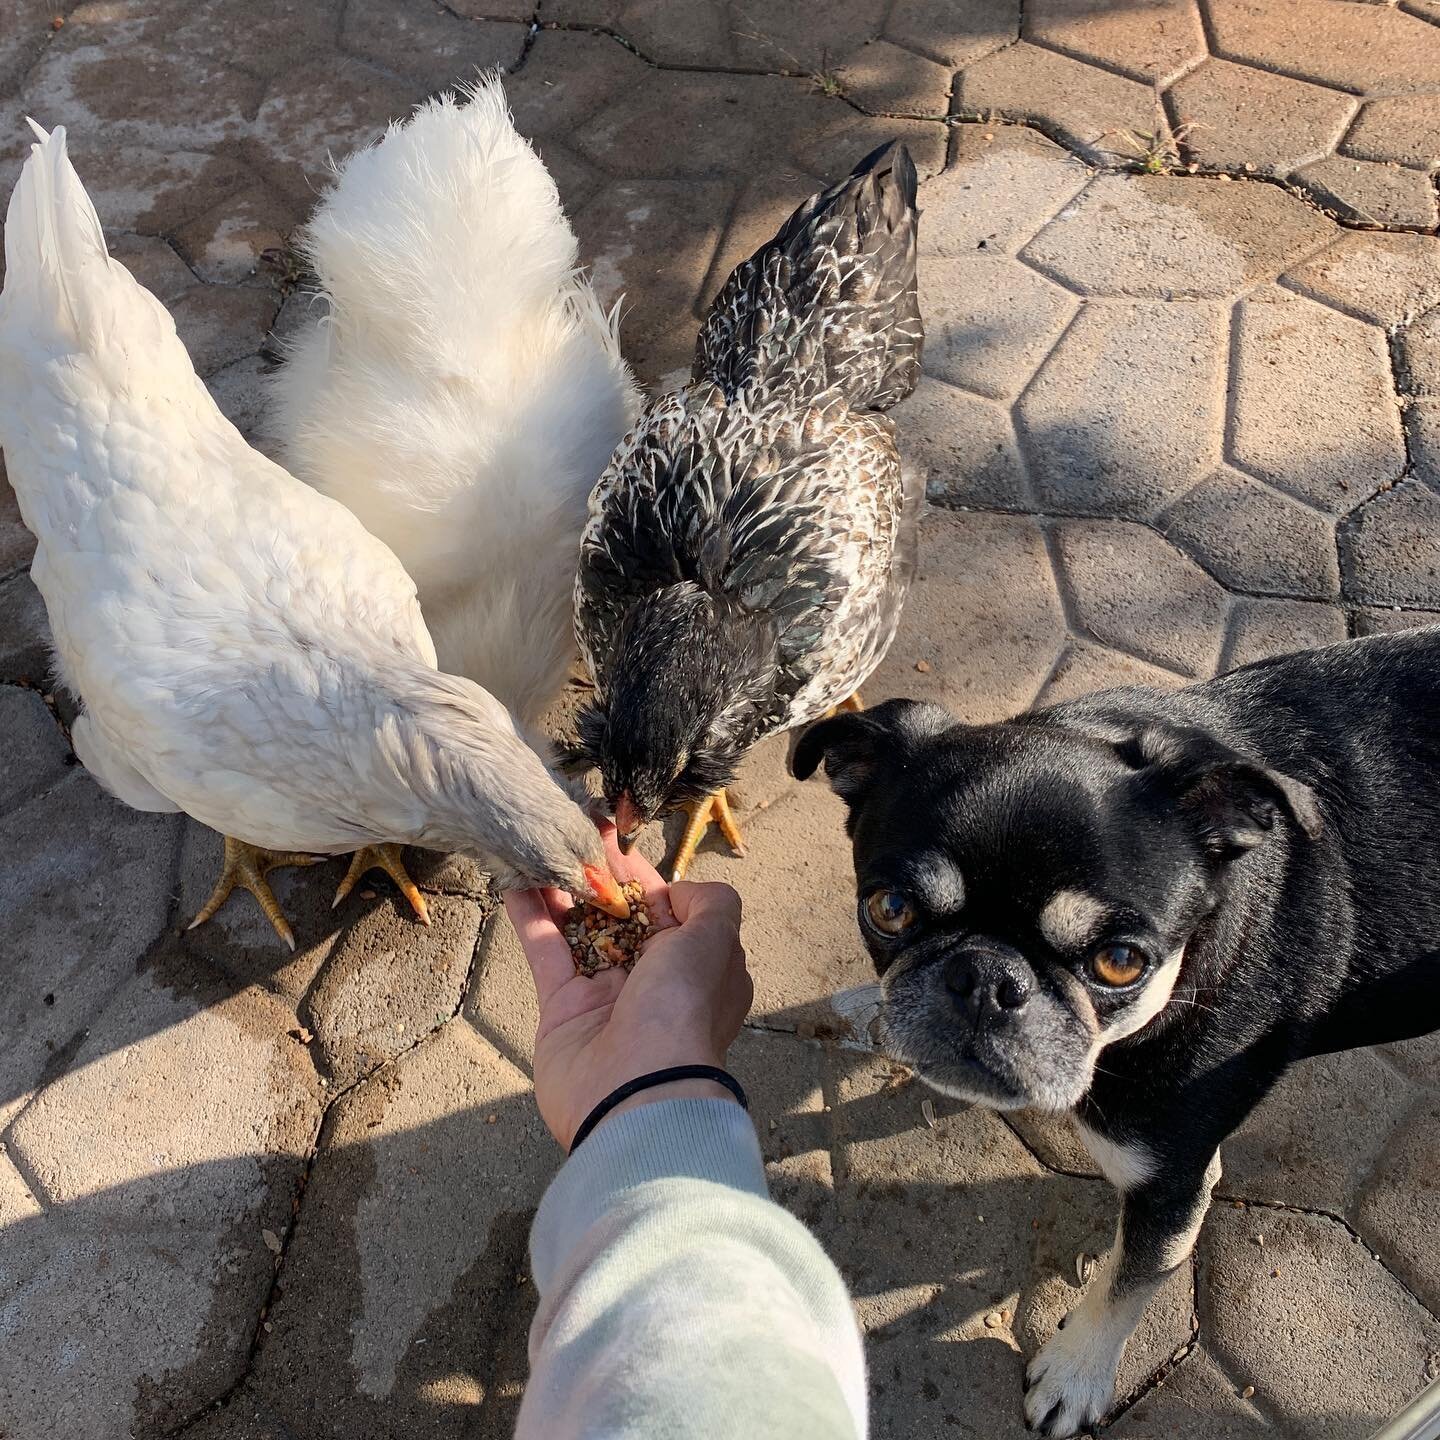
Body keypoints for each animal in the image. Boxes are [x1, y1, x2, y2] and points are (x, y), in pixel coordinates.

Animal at [794, 633, 1440, 1440]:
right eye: (889, 909)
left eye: (1121, 961)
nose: (985, 976)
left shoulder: (1171, 1185)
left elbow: (1128, 1283)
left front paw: (1076, 1376)